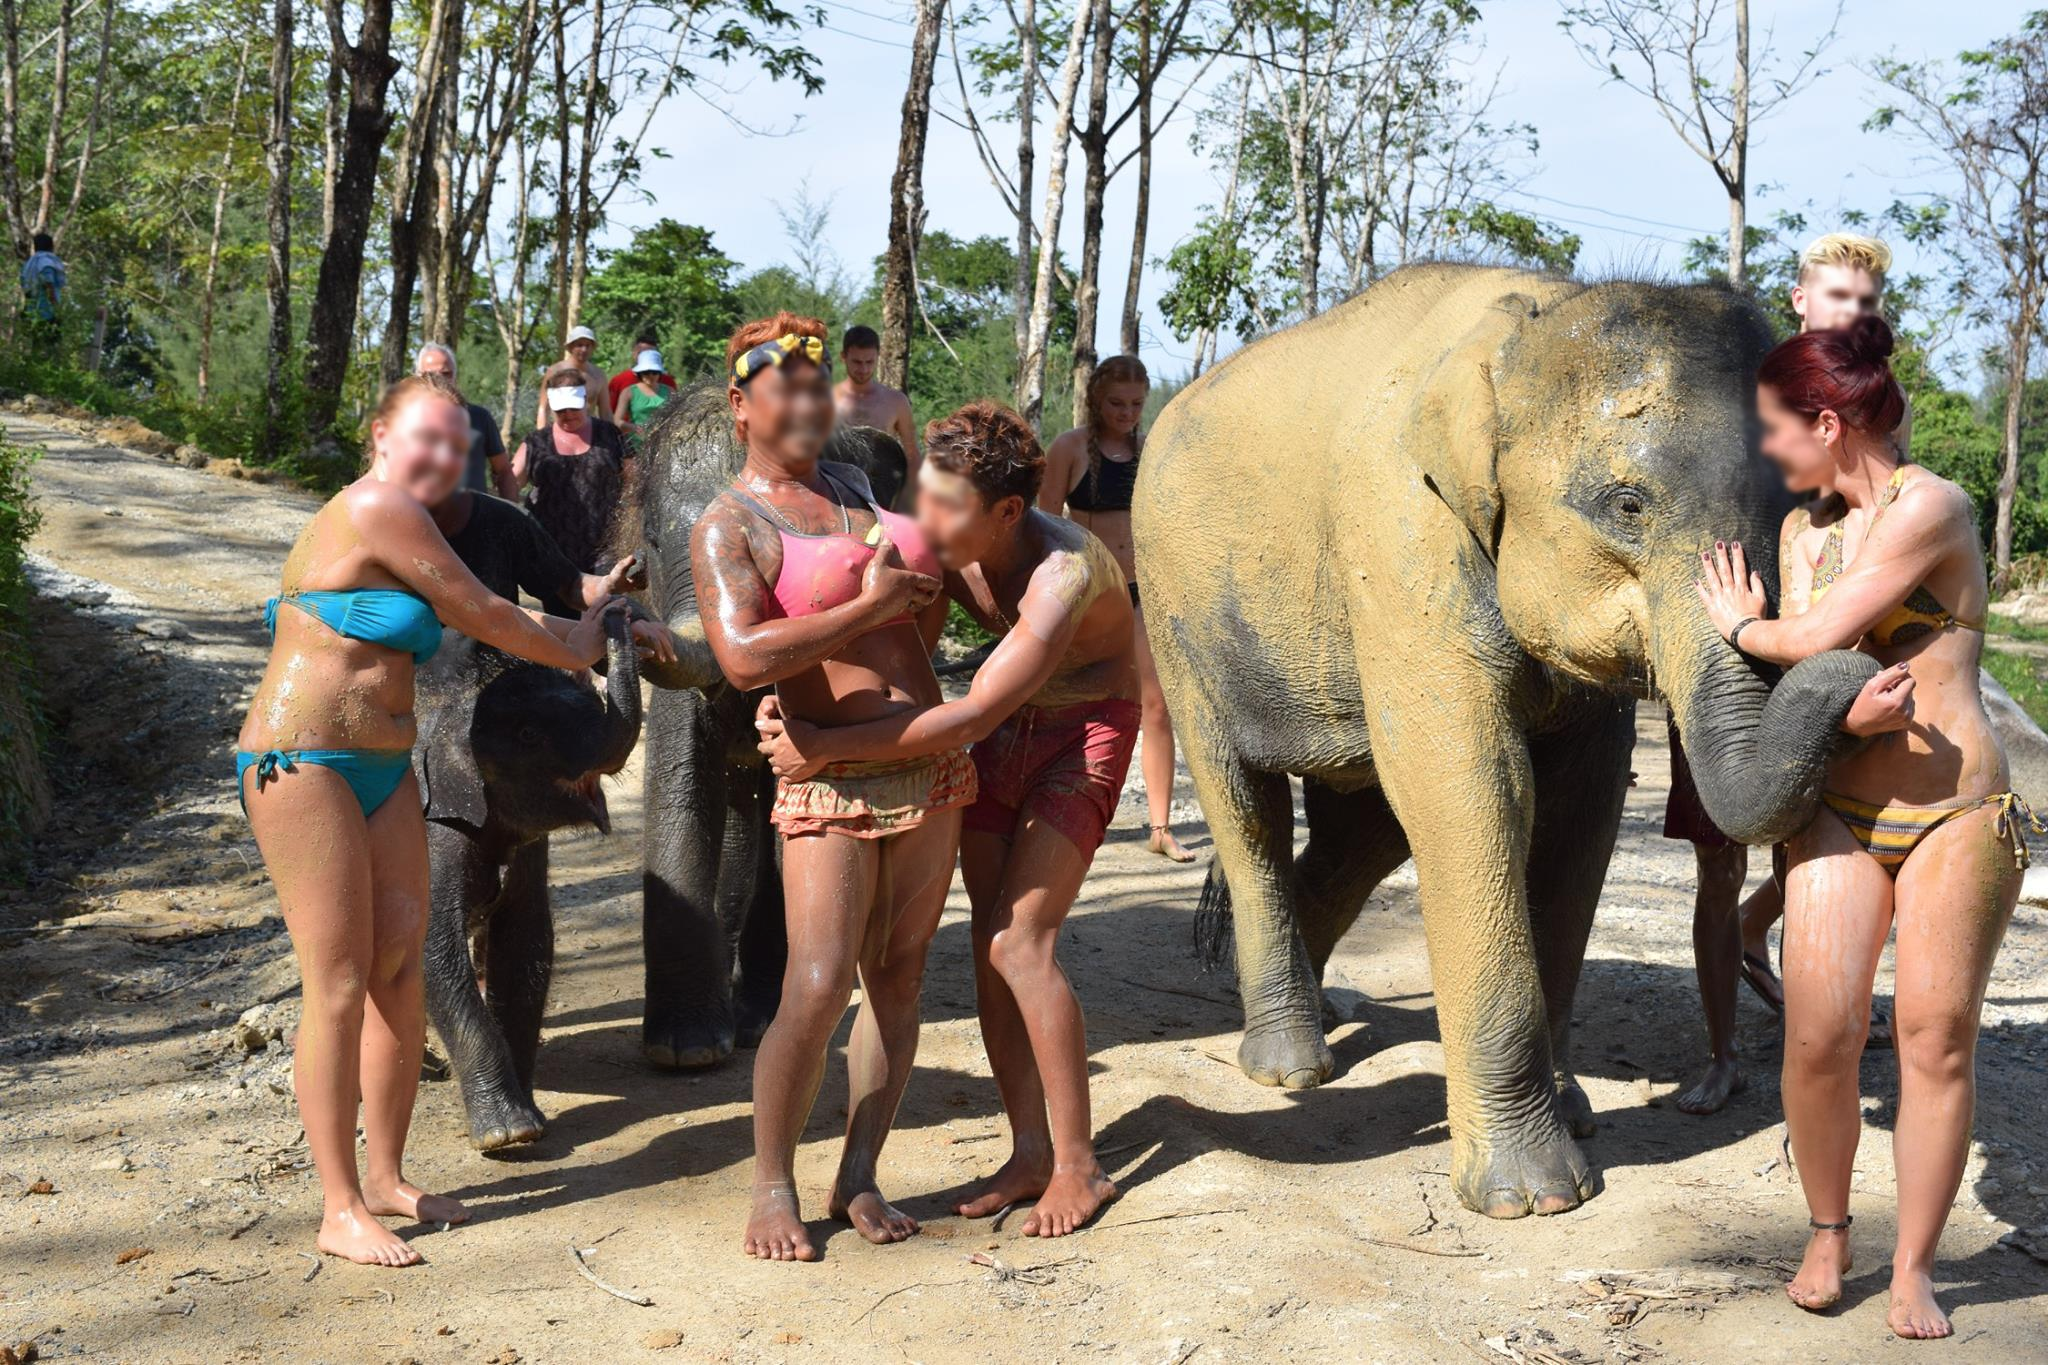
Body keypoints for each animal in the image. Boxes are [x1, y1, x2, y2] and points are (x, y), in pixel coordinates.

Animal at [411, 609, 634, 1154]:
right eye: (530, 734)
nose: (619, 612)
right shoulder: (432, 826)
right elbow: (433, 947)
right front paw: (508, 1136)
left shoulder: (528, 846)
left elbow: (527, 939)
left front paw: (530, 1116)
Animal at [1130, 263, 1875, 1219]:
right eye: (1627, 506)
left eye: (1798, 505)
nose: (1864, 667)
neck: (1537, 313)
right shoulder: (1402, 541)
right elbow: (1476, 792)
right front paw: (1537, 1197)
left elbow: (1579, 817)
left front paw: (1574, 1112)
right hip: (1176, 616)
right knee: (1248, 805)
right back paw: (1290, 1066)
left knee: (1359, 832)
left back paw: (1323, 1014)